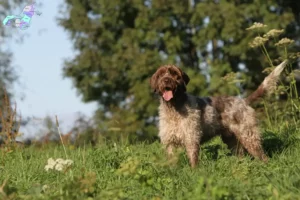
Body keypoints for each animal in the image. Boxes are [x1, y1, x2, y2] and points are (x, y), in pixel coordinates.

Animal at [150, 59, 288, 167]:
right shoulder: (169, 142)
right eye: (161, 75)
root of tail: (243, 101)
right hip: (232, 140)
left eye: (175, 74)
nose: (166, 80)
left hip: (249, 136)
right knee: (241, 155)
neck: (174, 109)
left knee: (263, 156)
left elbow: (193, 159)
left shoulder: (191, 138)